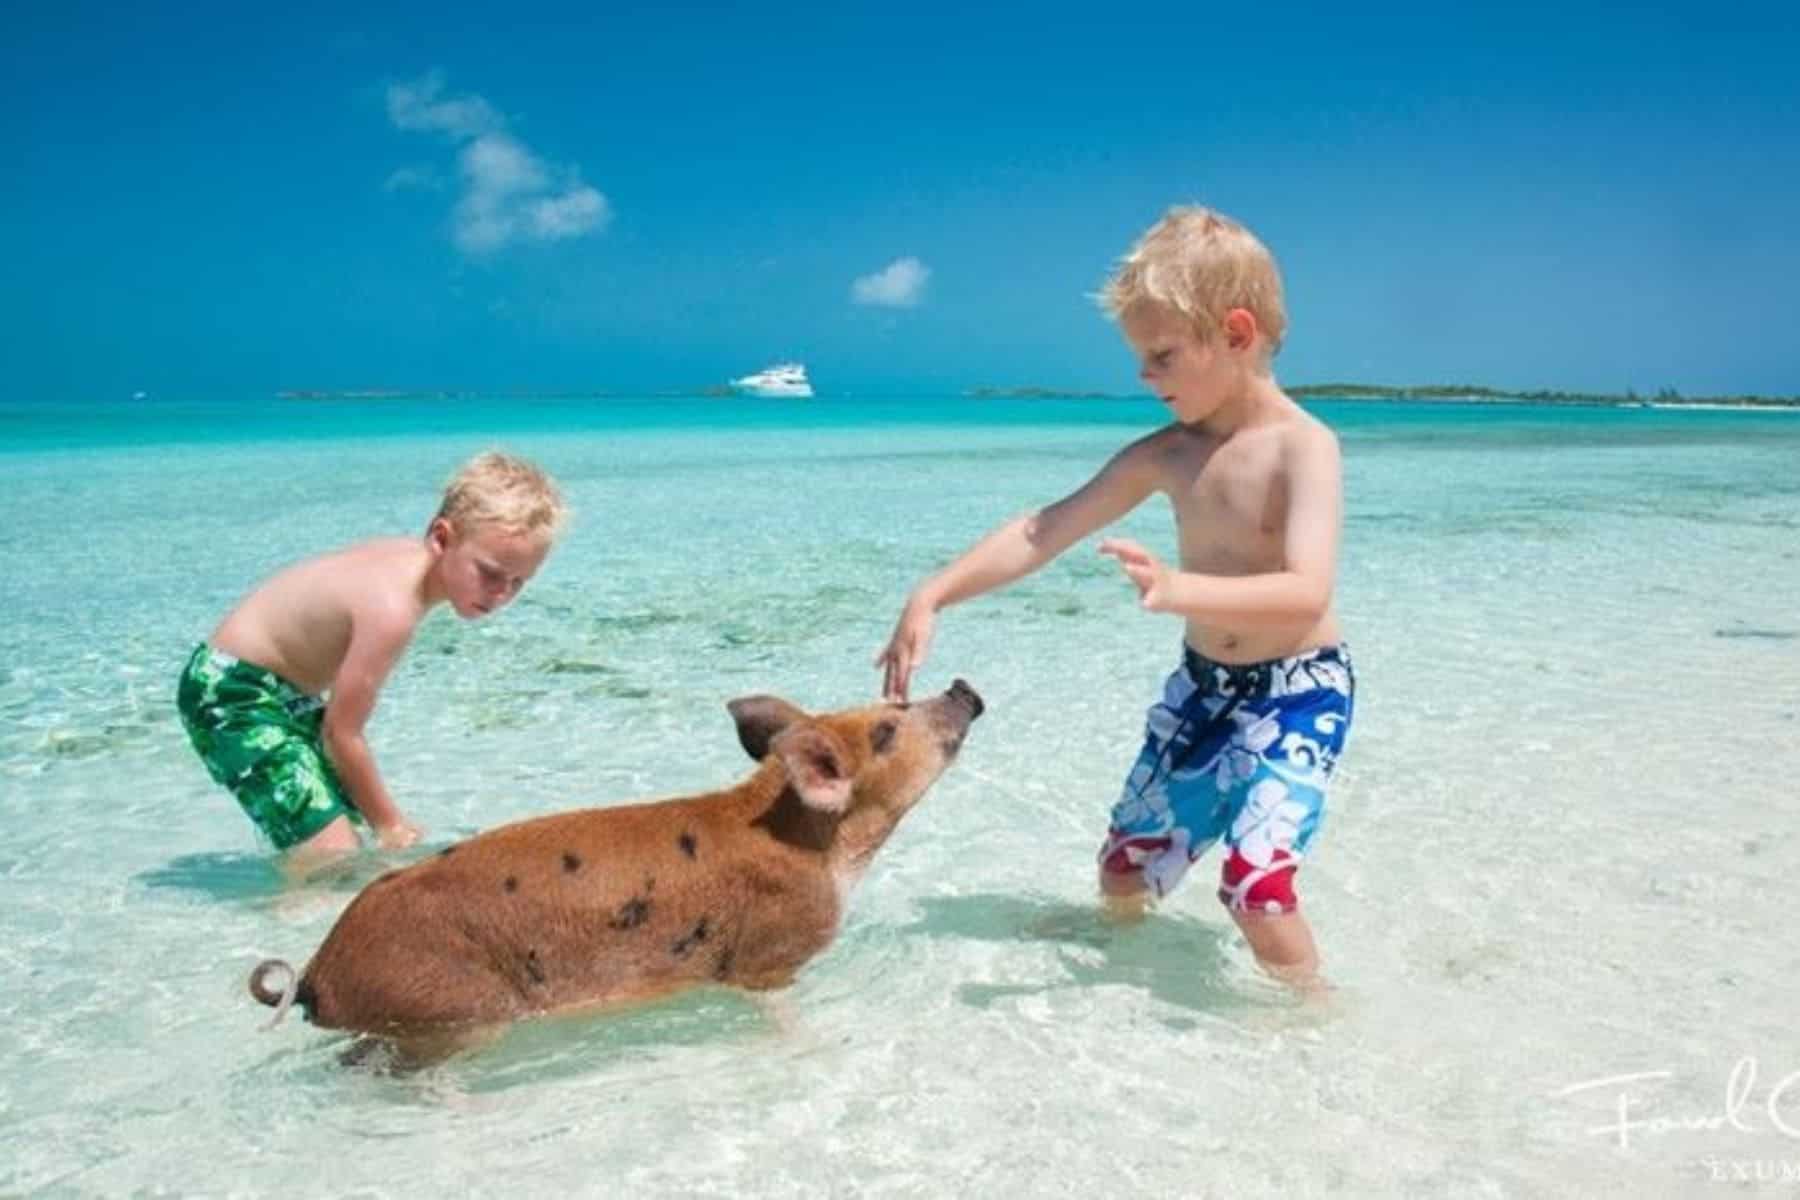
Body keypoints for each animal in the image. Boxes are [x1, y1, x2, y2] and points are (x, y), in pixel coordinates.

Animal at [248, 679, 983, 1063]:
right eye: (887, 730)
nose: (962, 687)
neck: (817, 845)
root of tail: (315, 972)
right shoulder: (767, 957)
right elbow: (777, 1009)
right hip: (452, 1012)